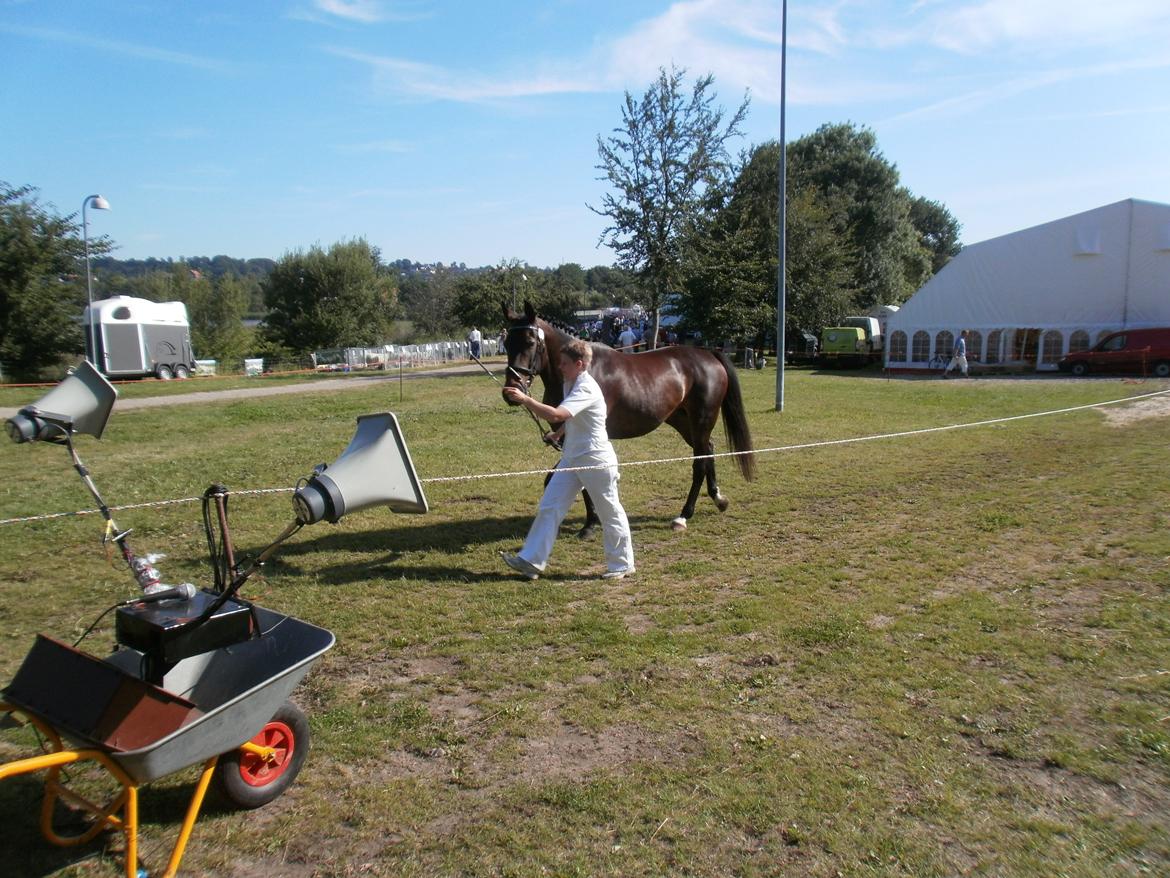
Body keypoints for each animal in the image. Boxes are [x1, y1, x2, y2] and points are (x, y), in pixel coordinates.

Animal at [498, 302, 753, 533]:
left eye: (530, 342)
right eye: (507, 343)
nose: (511, 391)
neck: (582, 371)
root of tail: (708, 354)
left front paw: (590, 525)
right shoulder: (567, 437)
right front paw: (590, 520)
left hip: (701, 420)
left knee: (700, 462)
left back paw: (683, 516)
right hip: (683, 422)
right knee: (708, 450)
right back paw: (718, 498)